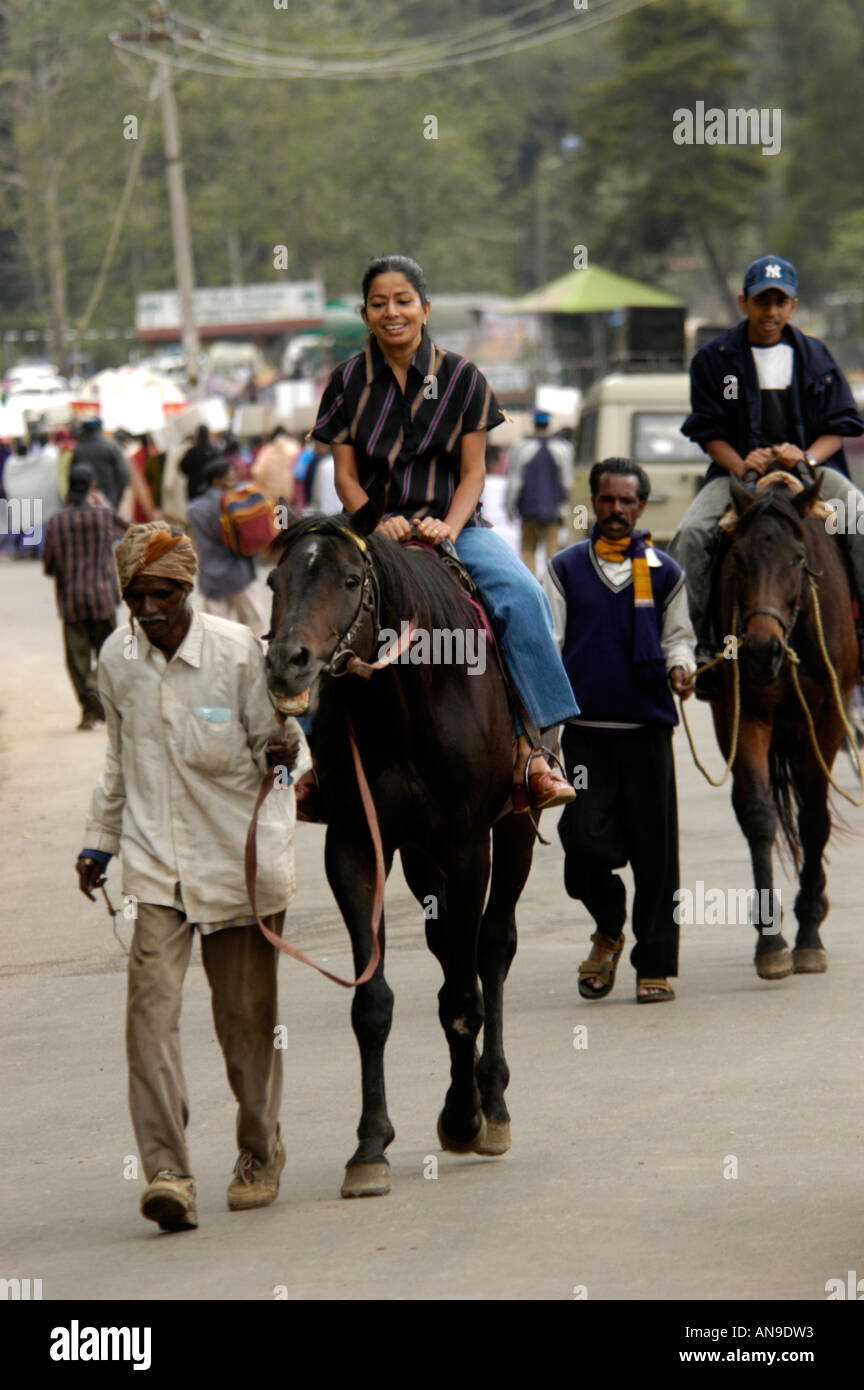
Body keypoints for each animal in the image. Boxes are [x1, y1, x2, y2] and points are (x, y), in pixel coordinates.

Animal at [263, 500, 538, 1195]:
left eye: (349, 581)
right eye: (275, 582)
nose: (287, 663)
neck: (405, 700)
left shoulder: (469, 845)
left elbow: (466, 993)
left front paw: (466, 1118)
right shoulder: (357, 846)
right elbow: (373, 1002)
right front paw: (369, 1146)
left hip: (515, 829)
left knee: (492, 948)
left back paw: (493, 1101)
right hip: (420, 856)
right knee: (447, 949)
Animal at [711, 478, 861, 978]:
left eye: (797, 559)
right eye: (738, 558)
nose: (761, 650)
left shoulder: (828, 715)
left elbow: (815, 819)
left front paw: (810, 933)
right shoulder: (745, 713)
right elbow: (759, 815)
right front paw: (772, 942)